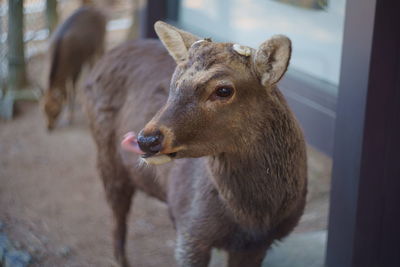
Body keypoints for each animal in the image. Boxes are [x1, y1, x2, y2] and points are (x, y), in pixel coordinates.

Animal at [84, 21, 306, 267]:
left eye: (224, 90)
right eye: (174, 82)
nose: (146, 140)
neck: (254, 219)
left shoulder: (258, 245)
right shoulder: (190, 229)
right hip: (106, 157)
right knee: (117, 220)